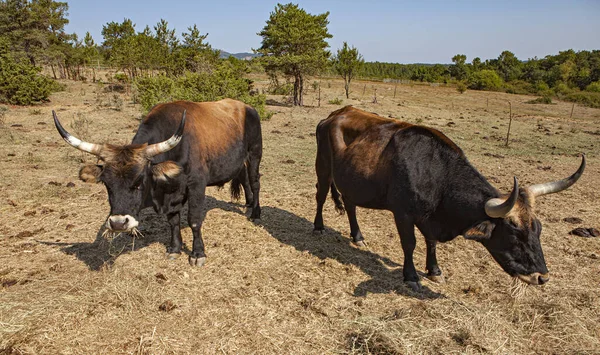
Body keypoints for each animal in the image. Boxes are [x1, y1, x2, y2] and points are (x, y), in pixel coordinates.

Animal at [54, 98, 262, 266]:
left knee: (254, 182)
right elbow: (173, 221)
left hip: (254, 154)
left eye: (139, 180)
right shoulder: (172, 194)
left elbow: (194, 220)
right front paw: (175, 249)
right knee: (244, 180)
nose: (118, 223)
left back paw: (255, 213)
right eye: (106, 183)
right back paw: (248, 203)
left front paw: (197, 254)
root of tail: (246, 107)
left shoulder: (196, 185)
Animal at [314, 105, 584, 290]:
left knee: (350, 205)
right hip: (324, 168)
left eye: (538, 230)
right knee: (320, 195)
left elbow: (431, 242)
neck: (436, 173)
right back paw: (318, 226)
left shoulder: (429, 217)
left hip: (351, 180)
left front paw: (434, 270)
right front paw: (411, 276)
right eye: (514, 233)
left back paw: (357, 236)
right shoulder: (403, 214)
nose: (542, 277)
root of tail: (335, 114)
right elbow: (409, 243)